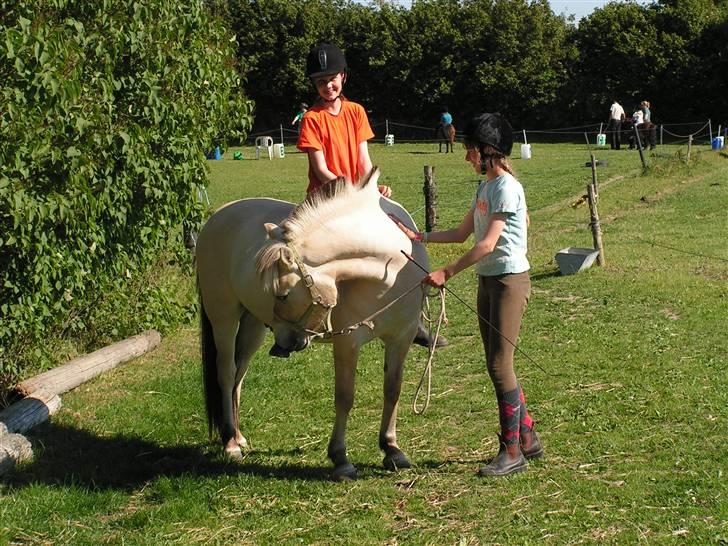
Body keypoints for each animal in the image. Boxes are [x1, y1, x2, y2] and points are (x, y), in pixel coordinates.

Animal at [196, 168, 430, 478]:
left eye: (282, 294)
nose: (282, 345)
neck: (391, 272)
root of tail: (216, 217)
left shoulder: (401, 337)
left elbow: (393, 389)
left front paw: (391, 449)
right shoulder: (348, 342)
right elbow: (344, 396)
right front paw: (341, 458)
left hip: (252, 325)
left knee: (239, 375)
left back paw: (238, 435)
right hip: (223, 316)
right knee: (226, 372)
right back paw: (230, 443)